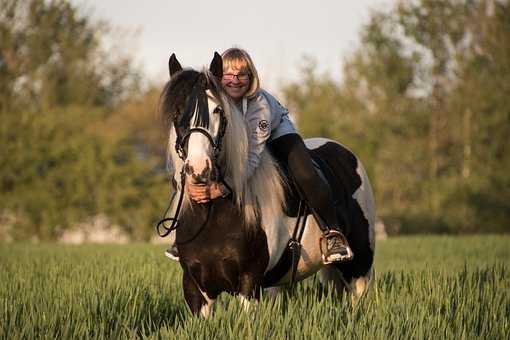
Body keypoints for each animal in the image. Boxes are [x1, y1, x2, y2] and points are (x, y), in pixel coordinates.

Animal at [158, 51, 374, 318]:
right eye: (178, 112)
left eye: (217, 110)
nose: (199, 168)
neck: (213, 217)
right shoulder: (195, 288)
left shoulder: (249, 284)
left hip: (360, 269)